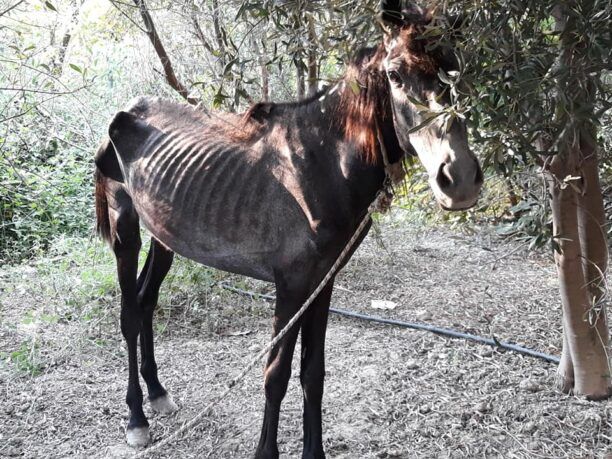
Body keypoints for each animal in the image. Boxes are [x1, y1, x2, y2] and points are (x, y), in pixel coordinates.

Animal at [93, 1, 482, 458]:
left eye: (455, 67)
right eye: (394, 75)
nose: (459, 179)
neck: (322, 166)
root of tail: (126, 112)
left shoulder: (322, 280)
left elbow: (313, 372)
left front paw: (315, 452)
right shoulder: (291, 285)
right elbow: (275, 374)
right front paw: (266, 451)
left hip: (164, 238)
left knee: (145, 301)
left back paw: (158, 393)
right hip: (126, 229)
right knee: (129, 315)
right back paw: (136, 417)